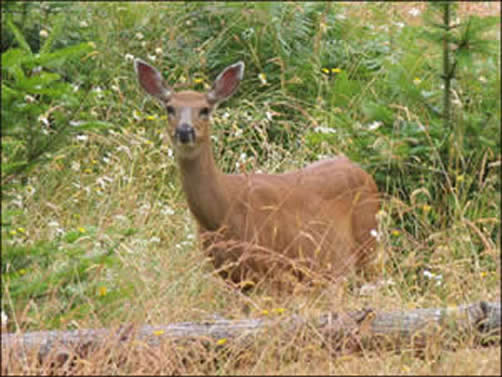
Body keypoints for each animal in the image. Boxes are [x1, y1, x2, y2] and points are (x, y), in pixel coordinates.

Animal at [134, 58, 380, 288]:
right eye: (169, 108)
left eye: (204, 109)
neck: (223, 213)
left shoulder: (275, 267)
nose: (185, 131)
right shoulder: (231, 276)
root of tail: (365, 175)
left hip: (368, 245)